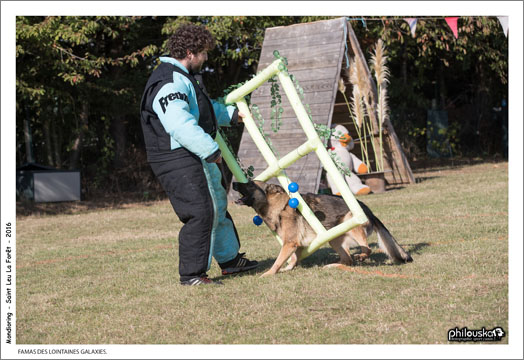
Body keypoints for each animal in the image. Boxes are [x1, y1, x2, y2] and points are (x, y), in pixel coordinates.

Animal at [234, 181, 414, 278]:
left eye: (249, 183)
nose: (234, 183)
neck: (279, 205)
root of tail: (368, 210)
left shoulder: (290, 244)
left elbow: (278, 261)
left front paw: (269, 273)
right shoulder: (296, 245)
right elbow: (292, 259)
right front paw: (288, 268)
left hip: (351, 223)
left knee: (367, 249)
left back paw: (361, 256)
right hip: (334, 239)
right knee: (348, 260)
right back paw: (333, 265)